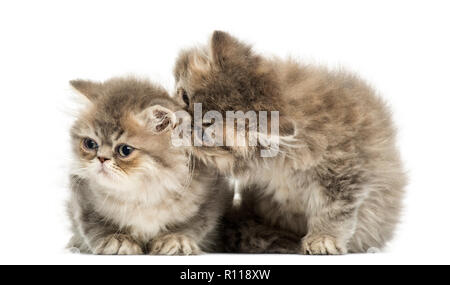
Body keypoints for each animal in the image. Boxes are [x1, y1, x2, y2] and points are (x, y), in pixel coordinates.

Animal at [66, 76, 232, 254]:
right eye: (90, 144)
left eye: (125, 150)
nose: (101, 158)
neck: (143, 193)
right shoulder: (84, 199)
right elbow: (96, 226)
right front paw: (118, 241)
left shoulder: (209, 200)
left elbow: (191, 226)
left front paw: (175, 239)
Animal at [173, 31, 408, 253]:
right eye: (184, 98)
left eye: (205, 132)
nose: (183, 122)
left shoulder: (344, 176)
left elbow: (334, 213)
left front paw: (324, 239)